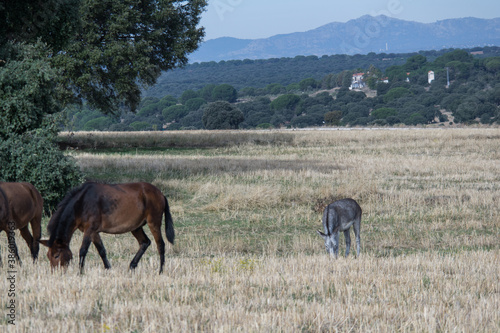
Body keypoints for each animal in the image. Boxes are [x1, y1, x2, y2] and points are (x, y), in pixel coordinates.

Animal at [39, 182, 176, 272]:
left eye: (57, 255)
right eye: (48, 256)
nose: (55, 273)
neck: (81, 203)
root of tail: (160, 194)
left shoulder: (89, 230)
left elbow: (83, 250)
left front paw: (80, 272)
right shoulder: (93, 232)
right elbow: (102, 250)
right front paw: (108, 268)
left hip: (154, 223)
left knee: (160, 245)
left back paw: (160, 271)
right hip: (136, 227)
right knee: (145, 242)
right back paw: (132, 266)